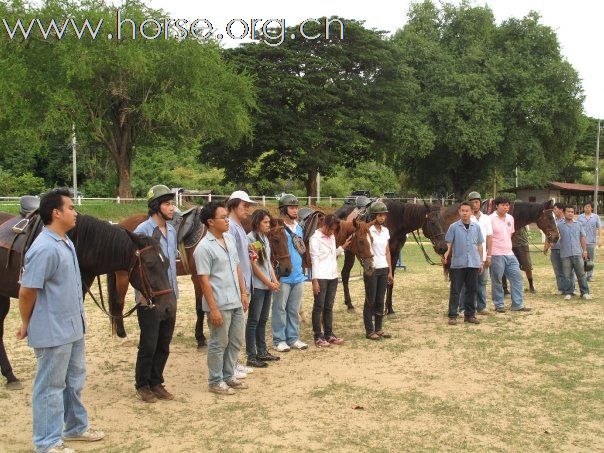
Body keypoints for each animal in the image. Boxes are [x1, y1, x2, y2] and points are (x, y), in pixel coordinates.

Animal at [109, 207, 294, 346]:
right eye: (276, 239)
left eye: (287, 239)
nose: (287, 270)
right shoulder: (198, 277)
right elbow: (200, 308)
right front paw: (201, 337)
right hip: (124, 276)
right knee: (119, 300)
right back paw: (121, 332)